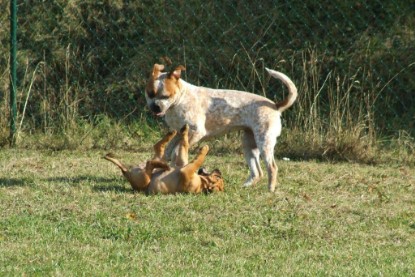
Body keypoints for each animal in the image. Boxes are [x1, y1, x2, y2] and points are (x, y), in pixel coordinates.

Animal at [145, 63, 298, 191]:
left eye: (166, 96)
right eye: (150, 94)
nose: (155, 107)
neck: (180, 99)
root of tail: (275, 105)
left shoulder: (196, 131)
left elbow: (177, 150)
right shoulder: (178, 132)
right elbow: (169, 150)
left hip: (264, 142)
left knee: (272, 167)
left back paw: (270, 189)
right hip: (249, 145)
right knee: (258, 172)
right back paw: (246, 186)